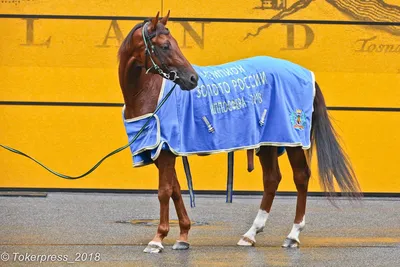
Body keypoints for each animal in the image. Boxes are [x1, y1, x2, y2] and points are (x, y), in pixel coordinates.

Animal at [117, 12, 360, 253]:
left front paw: (158, 239)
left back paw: (293, 235)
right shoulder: (161, 150)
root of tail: (305, 74)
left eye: (173, 43)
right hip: (269, 142)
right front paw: (183, 235)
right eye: (165, 45)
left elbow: (164, 191)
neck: (148, 92)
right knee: (272, 179)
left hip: (293, 141)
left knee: (300, 177)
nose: (192, 79)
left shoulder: (166, 150)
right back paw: (251, 234)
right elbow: (175, 189)